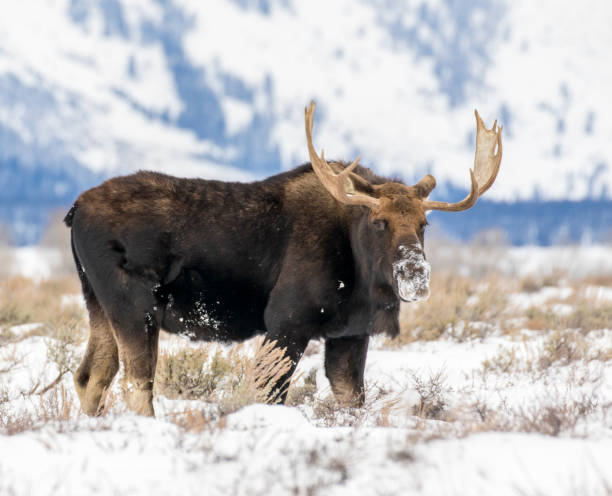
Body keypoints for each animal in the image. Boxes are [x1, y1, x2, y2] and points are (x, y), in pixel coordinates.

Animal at [65, 102, 502, 416]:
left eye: (424, 223)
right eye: (379, 222)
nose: (415, 273)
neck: (358, 268)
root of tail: (75, 209)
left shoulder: (349, 333)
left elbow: (351, 398)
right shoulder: (286, 321)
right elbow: (270, 393)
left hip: (98, 303)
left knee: (91, 376)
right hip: (135, 304)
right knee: (136, 383)